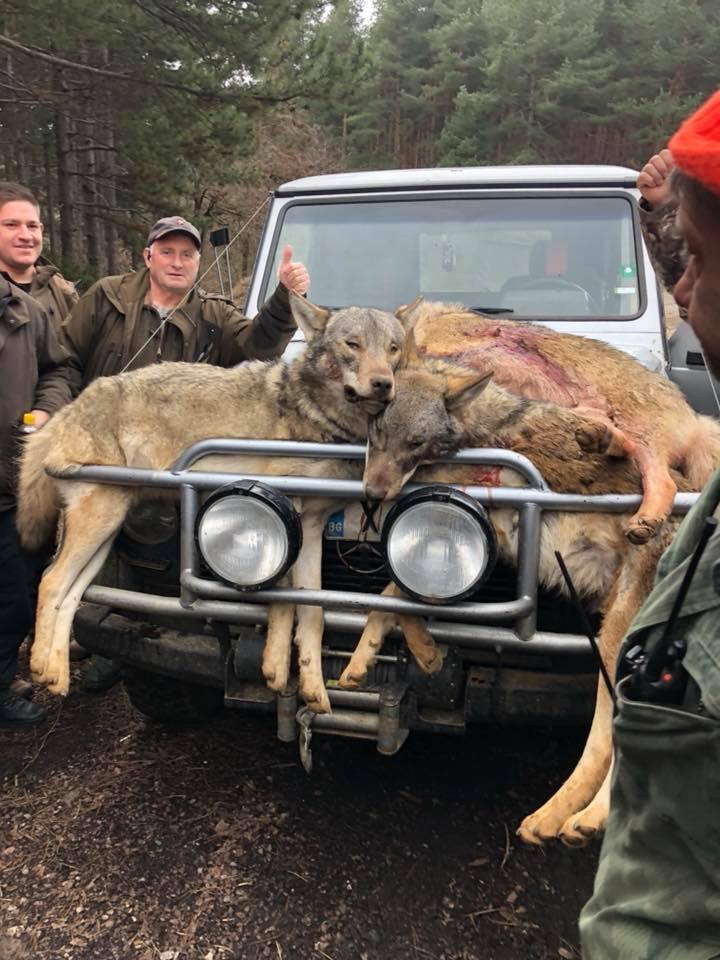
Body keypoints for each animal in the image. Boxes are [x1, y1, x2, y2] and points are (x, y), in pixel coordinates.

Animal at [18, 294, 410, 712]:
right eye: (353, 344)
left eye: (392, 348)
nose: (384, 384)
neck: (316, 417)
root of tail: (71, 406)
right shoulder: (284, 510)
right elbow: (283, 600)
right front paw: (274, 668)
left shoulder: (315, 527)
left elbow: (314, 613)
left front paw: (315, 693)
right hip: (99, 522)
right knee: (51, 581)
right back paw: (39, 667)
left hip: (106, 533)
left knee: (70, 593)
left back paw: (56, 674)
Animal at [344, 348, 704, 844]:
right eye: (378, 432)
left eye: (416, 444)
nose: (372, 495)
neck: (489, 429)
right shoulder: (477, 538)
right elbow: (390, 598)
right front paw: (378, 659)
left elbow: (397, 594)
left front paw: (422, 651)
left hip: (615, 645)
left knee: (609, 740)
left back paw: (572, 818)